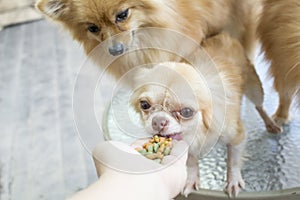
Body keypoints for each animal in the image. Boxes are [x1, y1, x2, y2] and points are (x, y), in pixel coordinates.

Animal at [131, 32, 255, 197]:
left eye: (186, 112)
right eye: (144, 104)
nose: (158, 121)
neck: (199, 133)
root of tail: (225, 35)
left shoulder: (236, 136)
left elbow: (233, 160)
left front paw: (233, 180)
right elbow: (191, 161)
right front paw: (191, 179)